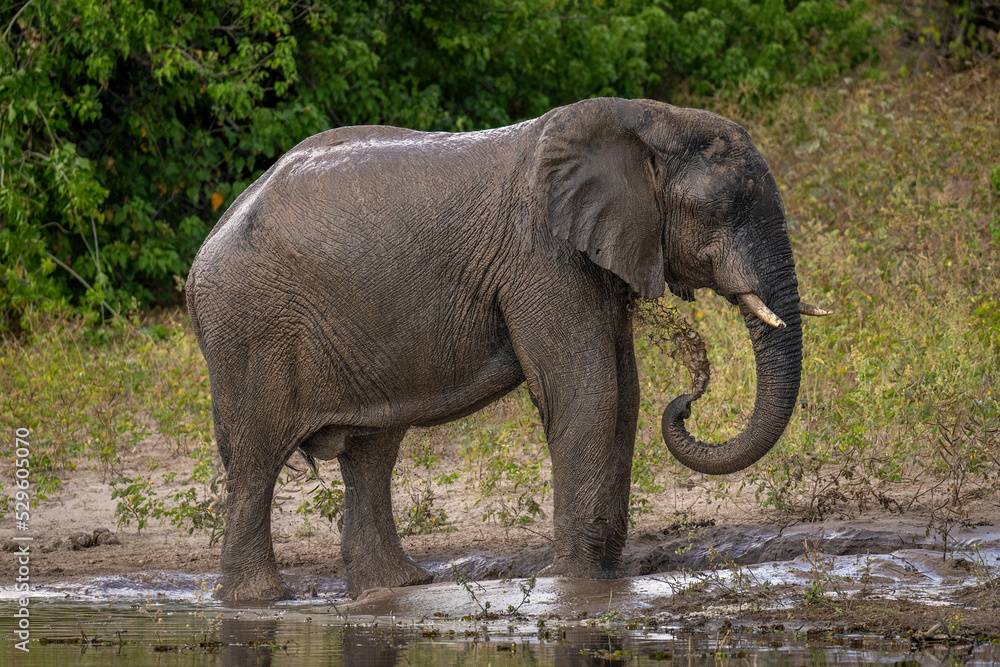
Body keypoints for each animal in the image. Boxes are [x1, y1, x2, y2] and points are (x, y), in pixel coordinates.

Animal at [185, 97, 830, 603]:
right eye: (724, 210)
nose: (690, 398)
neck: (646, 119)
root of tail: (203, 251)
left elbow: (624, 391)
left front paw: (603, 575)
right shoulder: (542, 255)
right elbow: (588, 389)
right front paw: (573, 581)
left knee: (371, 452)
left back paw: (396, 588)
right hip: (250, 331)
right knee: (257, 458)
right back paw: (259, 601)